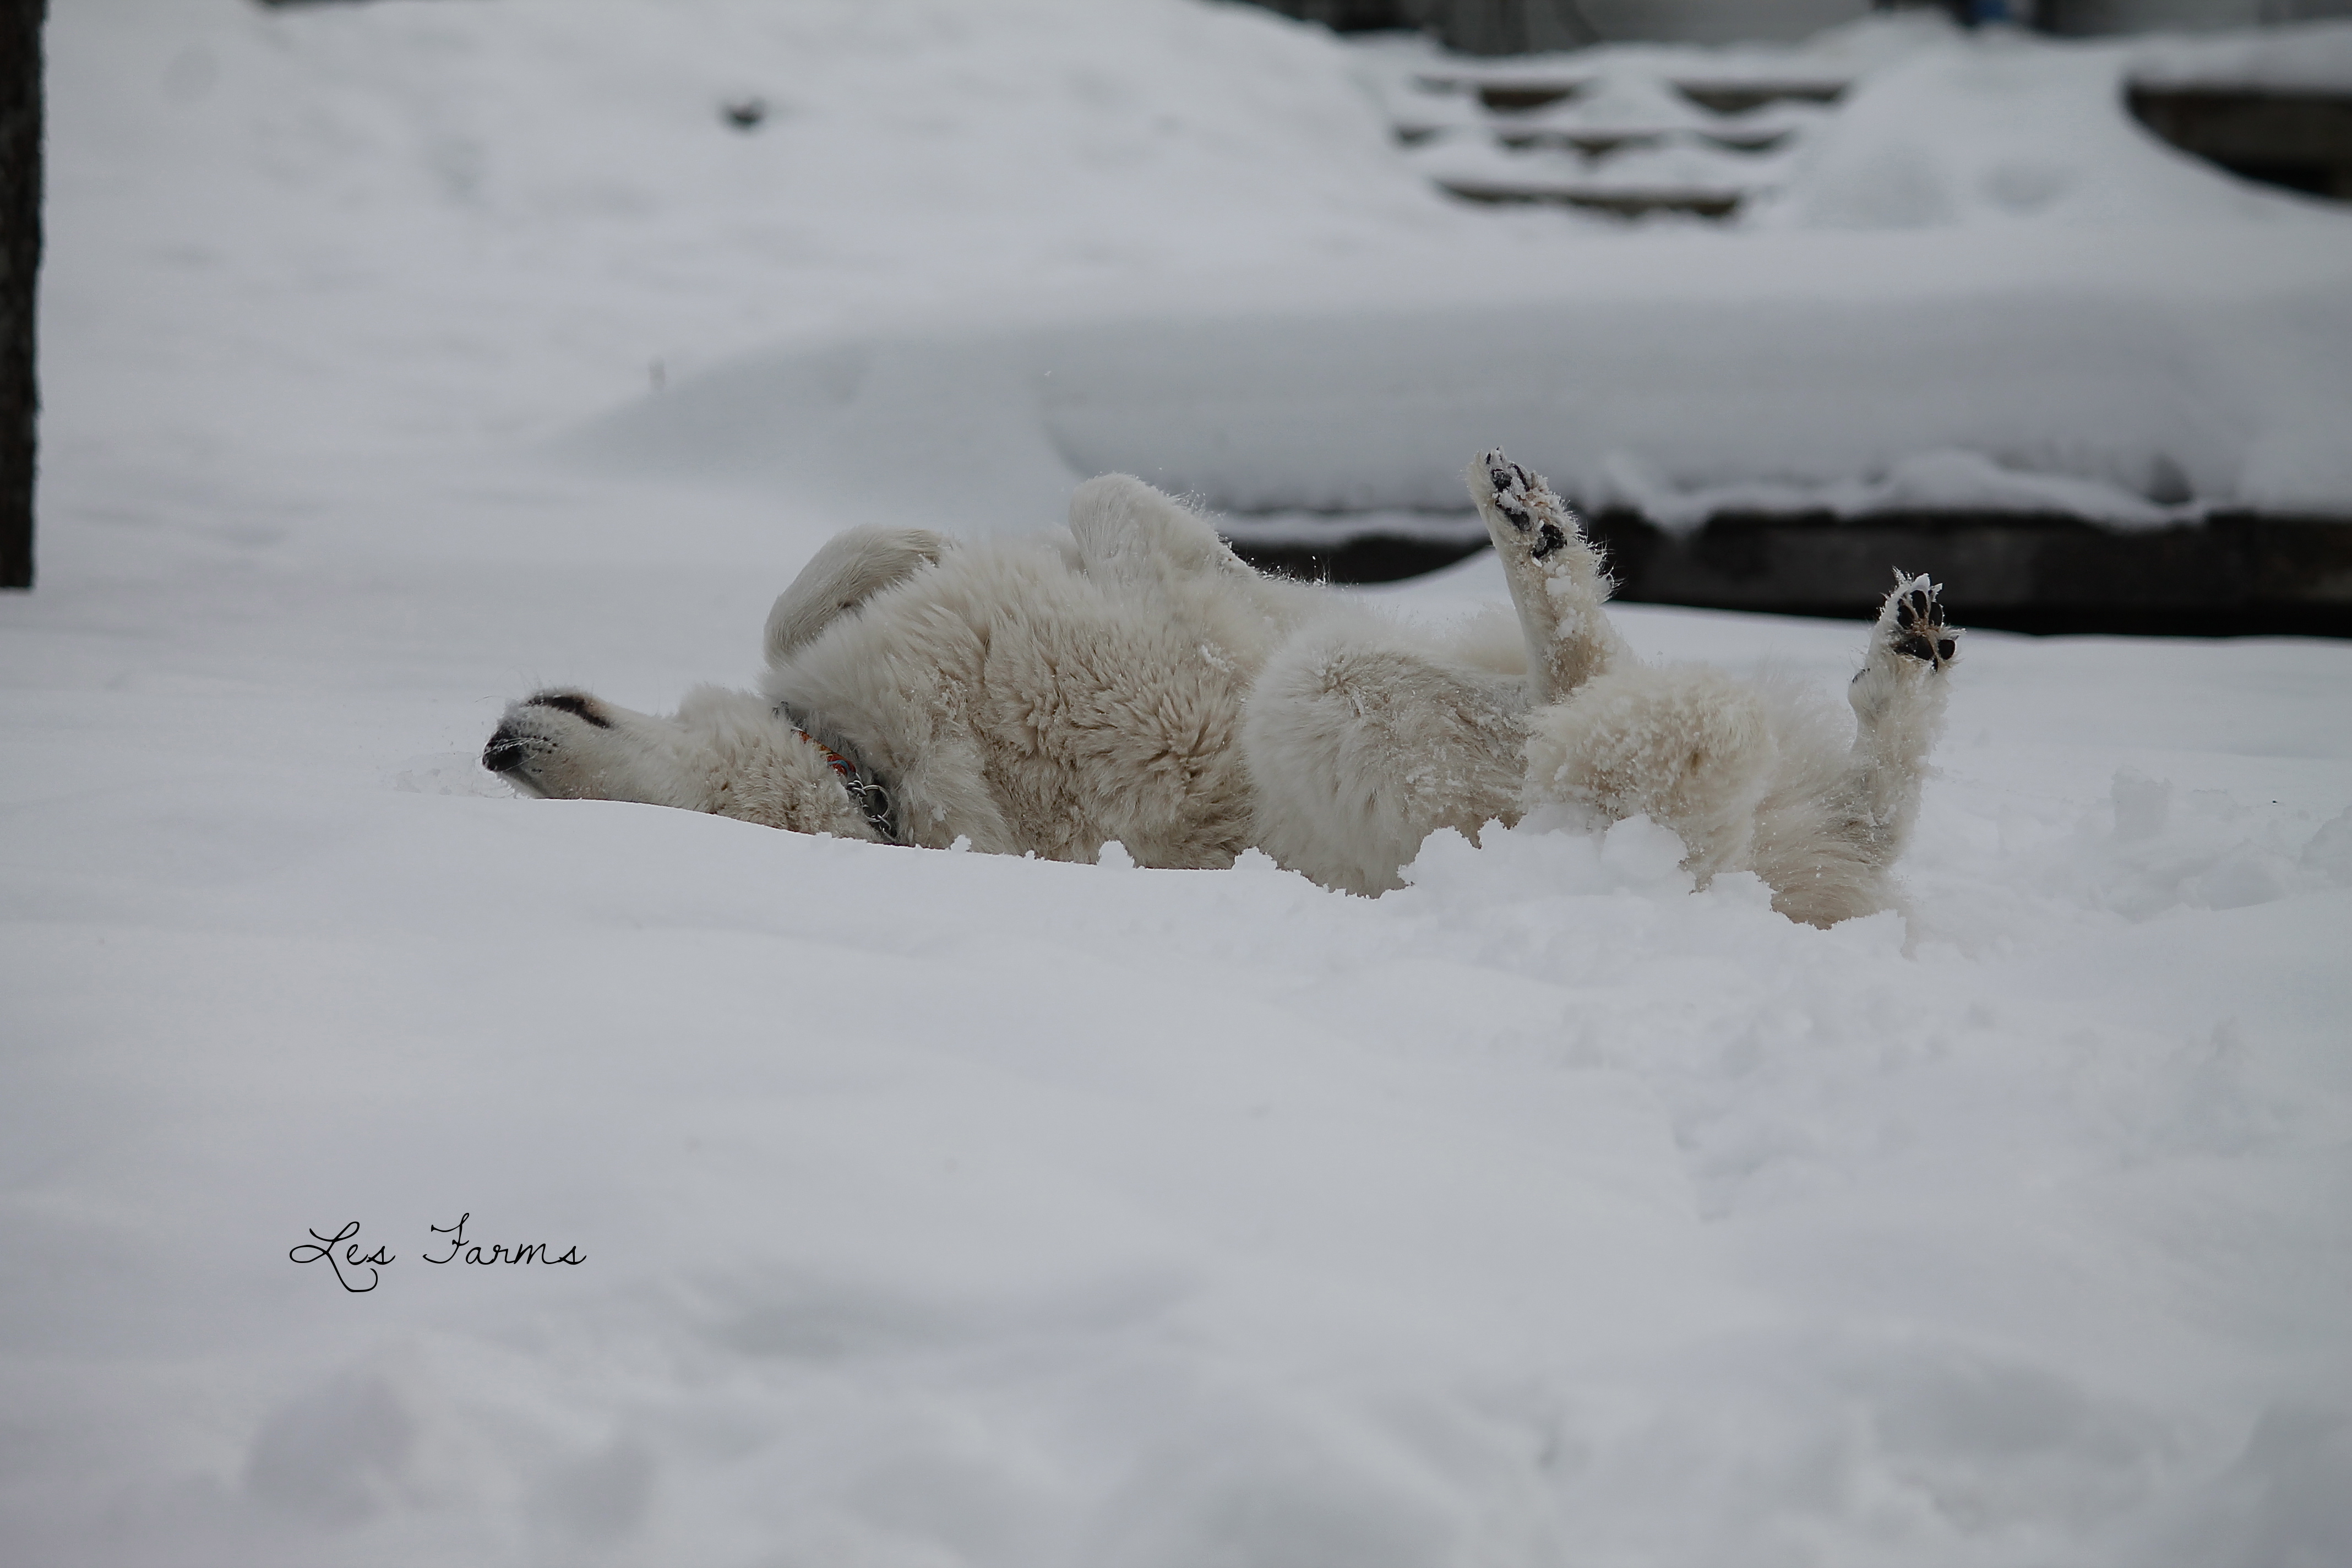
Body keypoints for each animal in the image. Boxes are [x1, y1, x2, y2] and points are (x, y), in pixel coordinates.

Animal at [487, 451, 1957, 921]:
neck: (875, 774)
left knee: (1862, 805)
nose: (496, 746)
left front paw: (898, 546)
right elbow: (1133, 522)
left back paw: (1903, 660)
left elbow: (825, 575)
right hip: (1335, 706)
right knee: (1599, 732)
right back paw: (1545, 564)